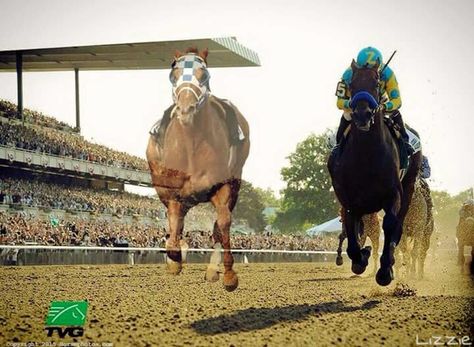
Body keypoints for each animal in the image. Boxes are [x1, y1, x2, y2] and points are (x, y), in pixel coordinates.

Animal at [145, 47, 250, 292]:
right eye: (174, 74)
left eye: (204, 74)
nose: (186, 108)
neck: (191, 143)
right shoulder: (174, 193)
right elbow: (174, 229)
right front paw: (175, 258)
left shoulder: (223, 186)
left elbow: (223, 224)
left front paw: (228, 275)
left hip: (235, 183)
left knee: (218, 225)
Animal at [328, 59, 420, 286]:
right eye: (351, 85)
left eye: (377, 83)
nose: (362, 114)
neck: (367, 155)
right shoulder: (348, 200)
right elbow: (352, 234)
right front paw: (361, 258)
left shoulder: (393, 194)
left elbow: (390, 224)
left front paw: (385, 271)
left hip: (409, 187)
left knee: (398, 225)